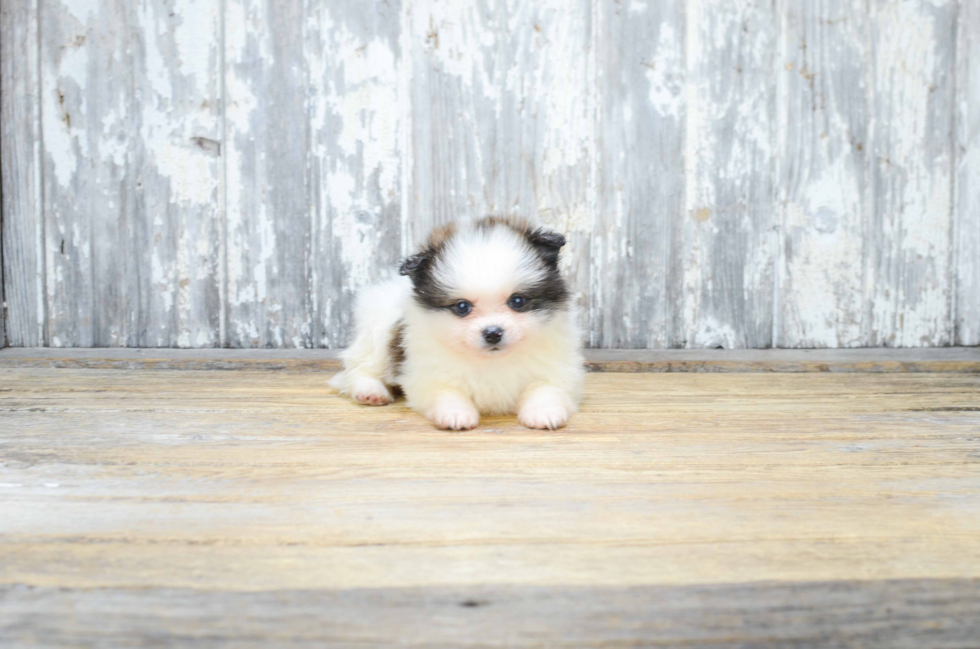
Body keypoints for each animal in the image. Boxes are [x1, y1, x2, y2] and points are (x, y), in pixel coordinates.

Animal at [330, 216, 580, 430]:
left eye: (517, 301)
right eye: (462, 307)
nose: (493, 333)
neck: (491, 360)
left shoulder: (555, 369)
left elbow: (546, 389)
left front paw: (544, 412)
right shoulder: (427, 374)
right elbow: (445, 392)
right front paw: (455, 413)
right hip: (376, 332)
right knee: (360, 368)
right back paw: (371, 391)